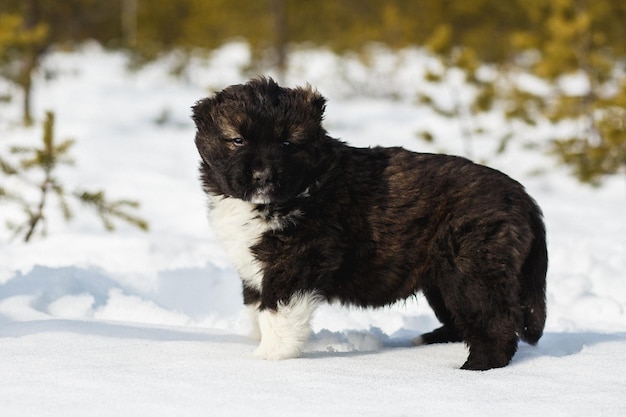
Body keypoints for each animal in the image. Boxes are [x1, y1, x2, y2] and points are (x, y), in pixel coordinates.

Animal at [191, 76, 544, 368]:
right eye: (237, 140)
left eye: (287, 143)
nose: (263, 175)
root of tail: (523, 196)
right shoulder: (253, 265)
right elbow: (256, 306)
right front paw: (256, 341)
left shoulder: (296, 260)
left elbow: (277, 310)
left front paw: (269, 357)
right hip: (442, 279)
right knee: (461, 321)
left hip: (471, 268)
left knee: (493, 323)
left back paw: (476, 369)